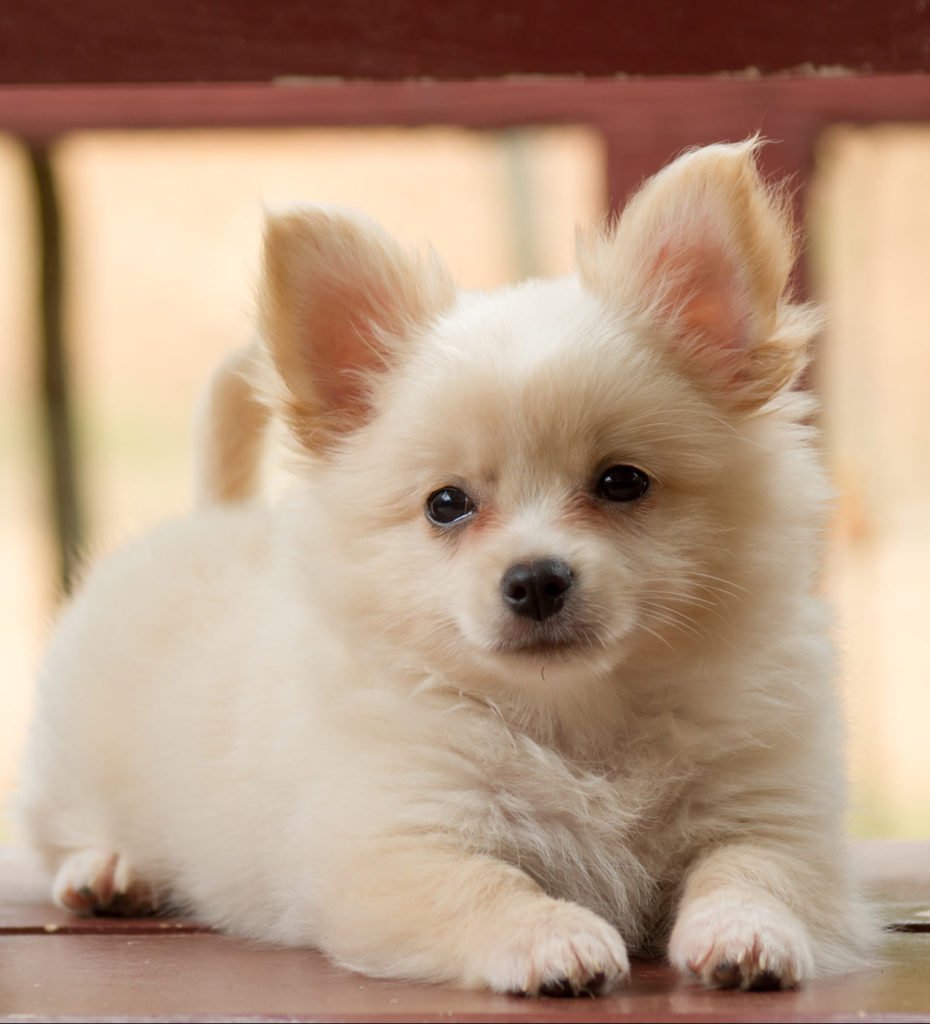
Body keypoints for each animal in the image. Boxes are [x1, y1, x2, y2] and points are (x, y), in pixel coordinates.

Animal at [14, 140, 872, 995]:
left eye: (622, 482)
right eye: (447, 504)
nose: (535, 579)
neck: (577, 720)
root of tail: (212, 514)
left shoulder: (771, 815)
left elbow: (752, 872)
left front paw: (746, 936)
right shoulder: (400, 841)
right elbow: (488, 885)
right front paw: (554, 940)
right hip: (72, 761)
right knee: (64, 831)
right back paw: (106, 869)